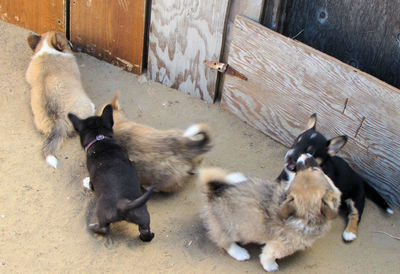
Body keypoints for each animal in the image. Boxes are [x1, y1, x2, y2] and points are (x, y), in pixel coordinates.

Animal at [68, 104, 155, 241]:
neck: (99, 138)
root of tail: (123, 204)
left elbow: (91, 183)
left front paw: (88, 184)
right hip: (142, 214)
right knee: (145, 230)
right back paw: (147, 235)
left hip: (102, 212)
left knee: (104, 228)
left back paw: (93, 227)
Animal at [199, 154, 340, 272]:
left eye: (315, 170)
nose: (304, 155)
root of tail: (213, 192)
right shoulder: (281, 245)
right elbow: (269, 255)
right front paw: (270, 266)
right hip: (231, 228)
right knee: (224, 242)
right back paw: (240, 253)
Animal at [276, 113, 392, 242]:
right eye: (296, 141)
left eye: (311, 151)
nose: (289, 156)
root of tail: (361, 178)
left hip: (356, 198)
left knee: (355, 214)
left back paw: (350, 232)